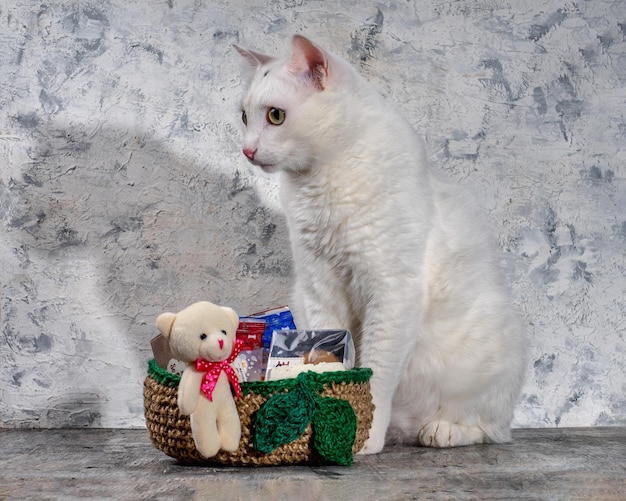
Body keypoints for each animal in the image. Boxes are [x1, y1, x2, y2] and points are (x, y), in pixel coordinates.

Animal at [234, 33, 528, 452]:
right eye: (244, 117)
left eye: (275, 116)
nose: (247, 150)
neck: (324, 176)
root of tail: (407, 426)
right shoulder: (319, 287)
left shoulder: (391, 291)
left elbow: (376, 373)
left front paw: (364, 437)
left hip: (494, 355)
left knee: (489, 428)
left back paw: (442, 430)